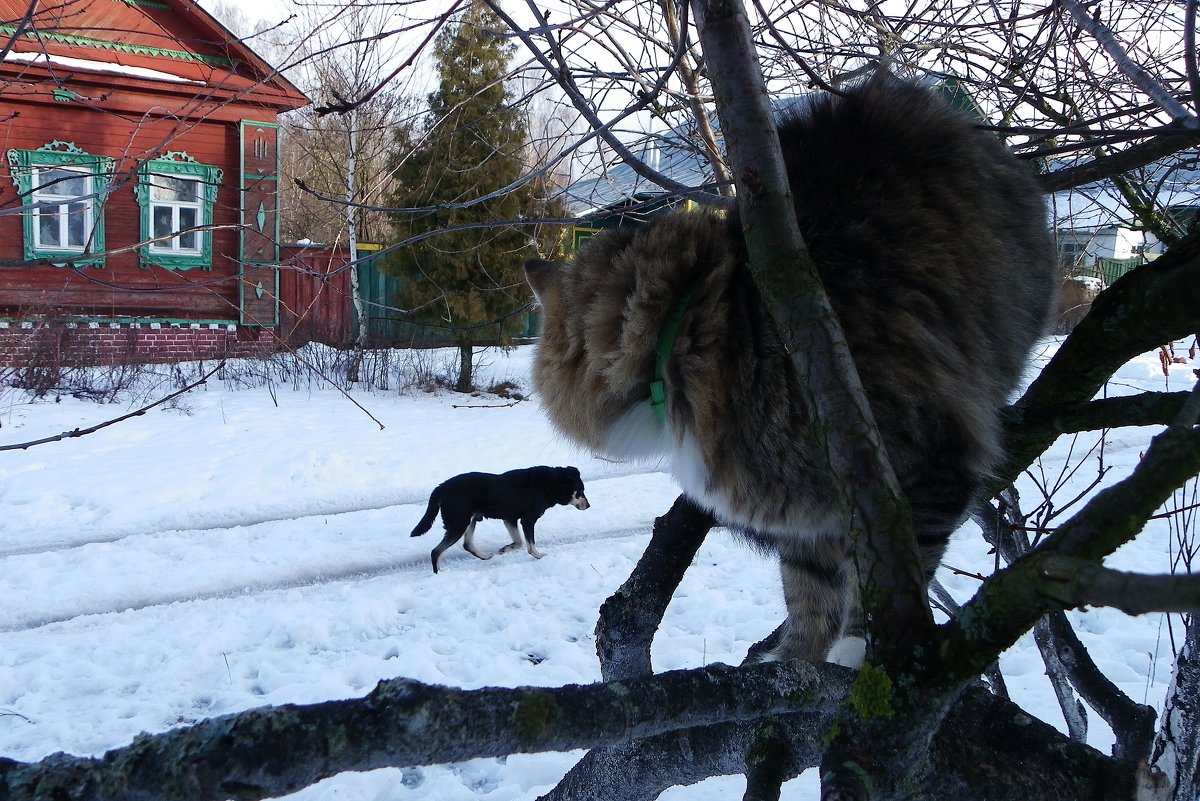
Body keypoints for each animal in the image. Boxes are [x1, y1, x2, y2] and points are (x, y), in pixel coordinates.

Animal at [408, 465, 590, 573]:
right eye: (581, 491)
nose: (588, 505)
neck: (550, 483)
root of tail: (442, 487)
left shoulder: (510, 519)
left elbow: (519, 542)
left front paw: (505, 549)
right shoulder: (527, 520)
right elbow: (530, 544)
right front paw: (539, 556)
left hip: (470, 520)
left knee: (467, 545)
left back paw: (484, 556)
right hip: (459, 523)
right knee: (436, 551)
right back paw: (439, 573)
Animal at [520, 73, 1056, 661]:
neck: (698, 330)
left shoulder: (924, 467)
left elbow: (889, 584)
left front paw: (860, 655)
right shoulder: (810, 519)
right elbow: (809, 593)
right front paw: (797, 658)